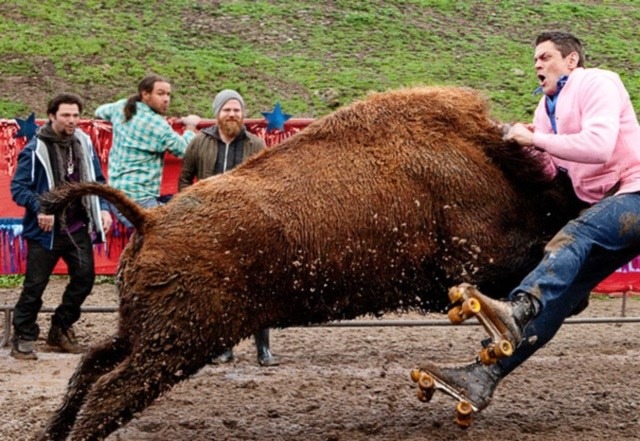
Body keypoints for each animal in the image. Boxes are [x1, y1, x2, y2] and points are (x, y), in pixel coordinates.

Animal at [37, 85, 584, 436]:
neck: (489, 165)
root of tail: (149, 218)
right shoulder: (476, 259)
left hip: (144, 333)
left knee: (92, 366)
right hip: (177, 344)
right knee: (108, 391)